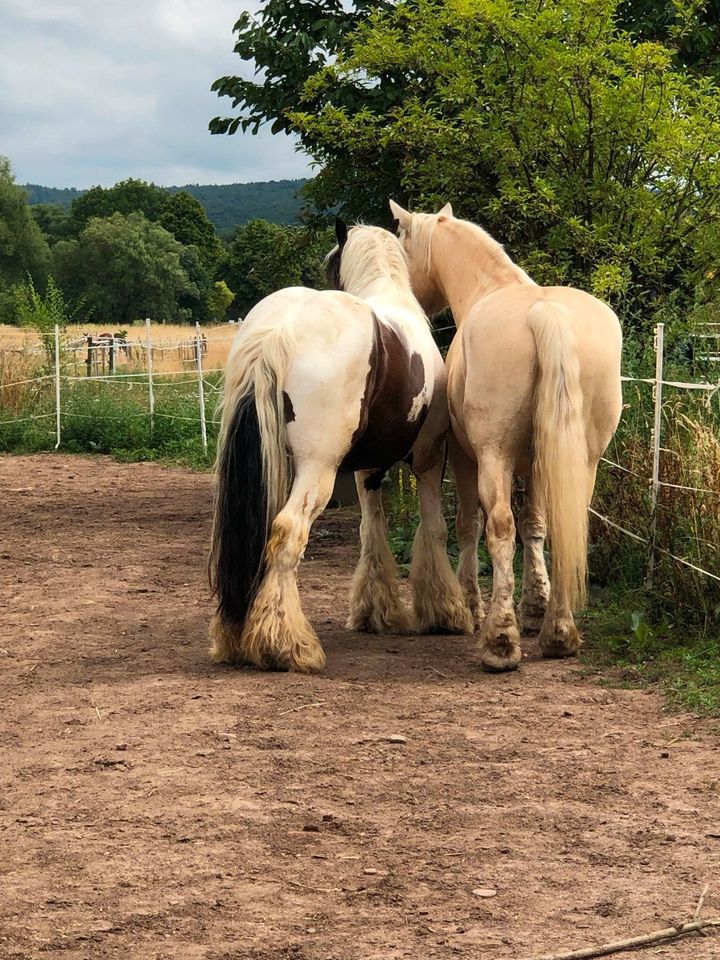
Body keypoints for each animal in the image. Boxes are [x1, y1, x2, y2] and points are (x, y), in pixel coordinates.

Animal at [207, 221, 472, 672]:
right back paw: (286, 645)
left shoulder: (368, 470)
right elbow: (433, 528)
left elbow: (371, 530)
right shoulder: (429, 459)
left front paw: (377, 612)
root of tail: (280, 331)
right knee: (286, 531)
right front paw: (446, 610)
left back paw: (238, 638)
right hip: (318, 471)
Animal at [390, 199, 620, 672]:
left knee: (498, 527)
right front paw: (534, 608)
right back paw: (558, 634)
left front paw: (473, 606)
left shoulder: (465, 457)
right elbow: (536, 526)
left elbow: (470, 526)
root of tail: (545, 313)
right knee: (567, 525)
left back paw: (500, 642)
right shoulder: (538, 465)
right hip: (583, 461)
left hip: (493, 458)